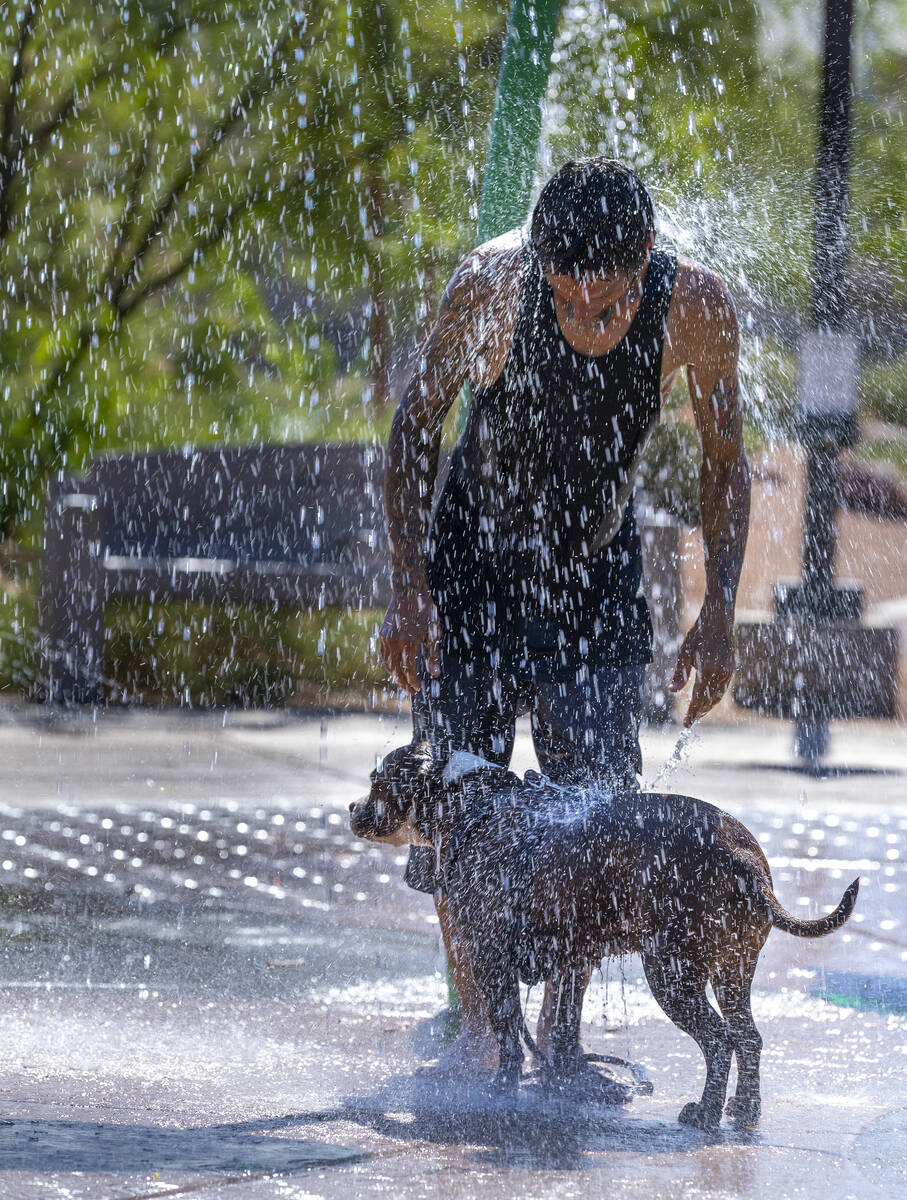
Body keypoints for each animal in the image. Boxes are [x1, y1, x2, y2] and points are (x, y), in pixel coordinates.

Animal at [350, 744, 859, 1128]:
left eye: (376, 780)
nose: (351, 807)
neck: (477, 805)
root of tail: (742, 858)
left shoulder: (491, 962)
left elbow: (510, 1040)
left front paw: (502, 1091)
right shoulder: (571, 959)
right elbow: (559, 1026)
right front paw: (561, 1079)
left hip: (672, 975)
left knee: (719, 1041)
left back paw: (706, 1113)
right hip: (734, 971)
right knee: (748, 1037)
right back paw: (745, 1109)